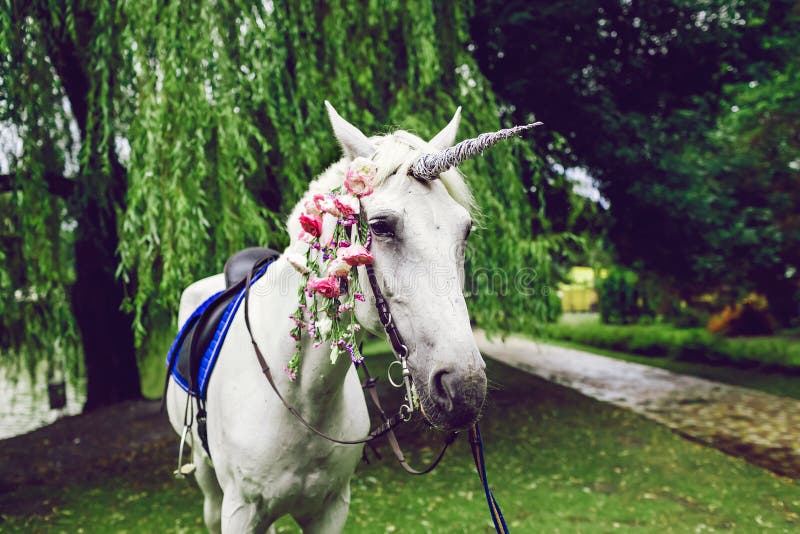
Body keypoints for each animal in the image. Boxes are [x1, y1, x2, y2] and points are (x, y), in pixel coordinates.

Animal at [166, 102, 536, 532]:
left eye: (466, 230)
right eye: (380, 226)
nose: (465, 389)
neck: (300, 398)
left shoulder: (330, 509)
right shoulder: (239, 512)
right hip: (211, 490)